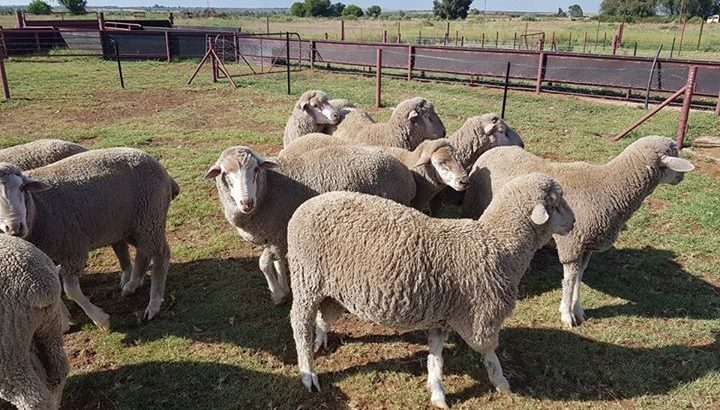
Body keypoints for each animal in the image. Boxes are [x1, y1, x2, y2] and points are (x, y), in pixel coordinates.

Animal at [0, 148, 180, 330]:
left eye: (22, 188)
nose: (15, 227)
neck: (38, 207)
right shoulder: (46, 258)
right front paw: (64, 322)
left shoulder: (74, 249)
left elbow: (71, 291)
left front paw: (101, 320)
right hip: (133, 226)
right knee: (144, 251)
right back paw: (132, 284)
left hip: (150, 218)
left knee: (161, 255)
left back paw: (154, 304)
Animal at [205, 145, 417, 305]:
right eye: (225, 173)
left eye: (256, 170)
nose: (246, 202)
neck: (268, 189)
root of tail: (406, 173)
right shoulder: (277, 236)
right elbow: (278, 262)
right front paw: (284, 287)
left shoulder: (279, 236)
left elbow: (264, 264)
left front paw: (277, 294)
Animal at [287, 173, 575, 408]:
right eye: (556, 204)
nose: (573, 222)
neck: (499, 244)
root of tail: (305, 206)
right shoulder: (481, 316)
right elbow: (489, 352)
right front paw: (502, 383)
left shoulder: (442, 316)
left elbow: (436, 357)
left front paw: (437, 392)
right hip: (306, 279)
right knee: (299, 325)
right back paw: (308, 373)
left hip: (333, 291)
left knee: (323, 316)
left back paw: (320, 340)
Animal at [461, 136, 695, 328]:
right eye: (674, 156)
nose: (681, 179)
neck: (609, 187)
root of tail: (492, 151)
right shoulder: (571, 243)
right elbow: (570, 279)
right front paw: (566, 314)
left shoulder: (586, 245)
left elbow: (580, 277)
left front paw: (578, 309)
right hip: (475, 206)